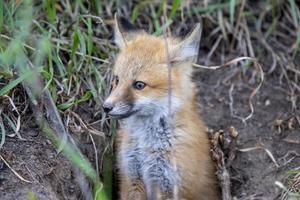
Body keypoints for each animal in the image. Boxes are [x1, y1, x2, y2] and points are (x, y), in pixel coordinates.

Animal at [104, 16, 219, 200]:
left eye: (139, 85)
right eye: (116, 80)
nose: (106, 107)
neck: (146, 144)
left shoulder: (169, 184)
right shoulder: (132, 176)